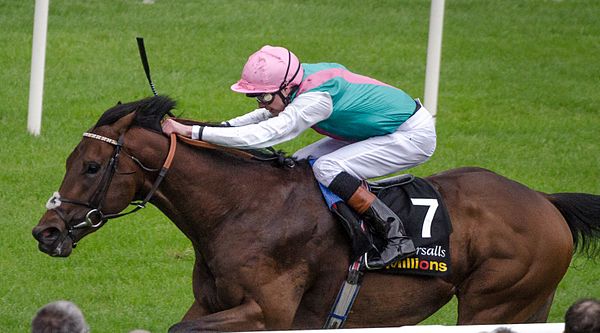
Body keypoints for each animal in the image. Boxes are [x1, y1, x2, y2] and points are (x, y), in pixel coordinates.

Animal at [31, 95, 600, 330]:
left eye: (91, 166)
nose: (46, 231)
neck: (240, 210)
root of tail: (545, 202)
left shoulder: (267, 313)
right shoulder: (211, 304)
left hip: (493, 303)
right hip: (530, 304)